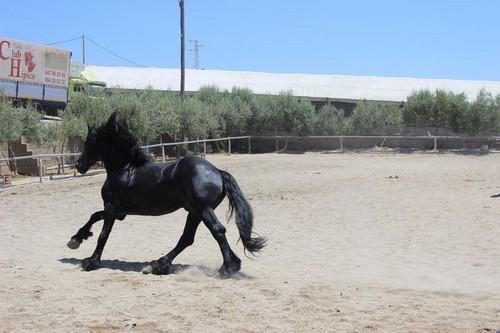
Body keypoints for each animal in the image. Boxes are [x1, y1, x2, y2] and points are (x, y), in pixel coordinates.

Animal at [68, 113, 268, 276]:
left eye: (89, 142)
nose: (79, 165)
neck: (123, 169)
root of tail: (218, 172)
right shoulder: (120, 212)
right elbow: (94, 216)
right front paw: (75, 240)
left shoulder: (112, 207)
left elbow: (104, 234)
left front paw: (91, 262)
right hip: (194, 212)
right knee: (187, 238)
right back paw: (158, 265)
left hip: (203, 209)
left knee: (217, 231)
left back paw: (227, 268)